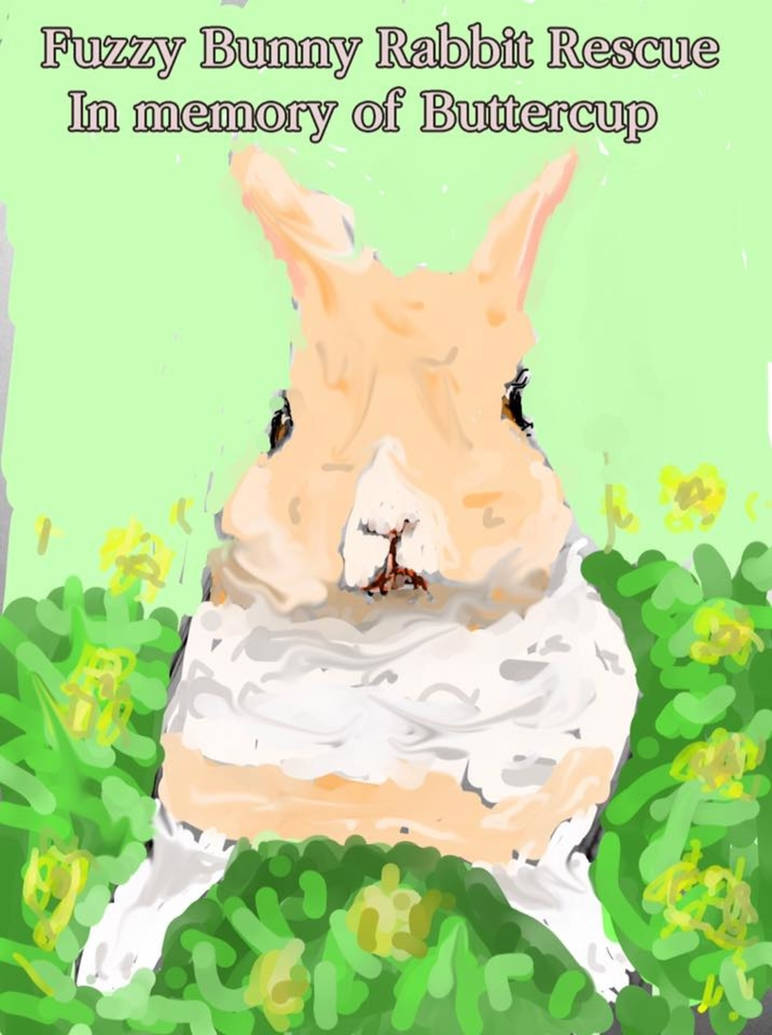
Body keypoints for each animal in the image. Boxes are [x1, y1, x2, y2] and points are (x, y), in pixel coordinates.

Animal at [79, 147, 639, 999]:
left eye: (516, 403)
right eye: (281, 422)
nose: (389, 521)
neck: (389, 636)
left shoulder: (538, 800)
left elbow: (547, 878)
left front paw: (619, 976)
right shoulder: (210, 783)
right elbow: (174, 865)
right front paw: (102, 970)